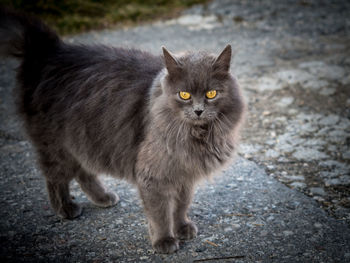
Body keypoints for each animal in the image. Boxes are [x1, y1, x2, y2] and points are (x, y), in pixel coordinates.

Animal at [0, 8, 246, 256]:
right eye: (184, 95)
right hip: (56, 143)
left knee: (83, 170)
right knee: (56, 177)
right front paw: (164, 240)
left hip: (83, 138)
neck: (197, 135)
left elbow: (181, 205)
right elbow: (160, 213)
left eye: (211, 94)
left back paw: (103, 197)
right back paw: (66, 208)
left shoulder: (184, 173)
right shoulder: (155, 174)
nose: (198, 110)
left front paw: (182, 227)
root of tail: (49, 50)